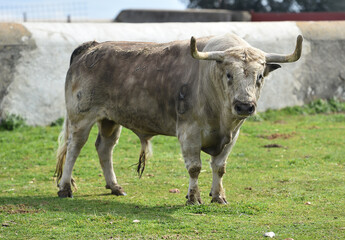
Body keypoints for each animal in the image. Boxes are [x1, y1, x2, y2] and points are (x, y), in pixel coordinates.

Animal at [54, 33, 300, 204]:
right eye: (229, 75)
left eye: (259, 76)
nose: (244, 106)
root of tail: (91, 47)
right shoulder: (189, 133)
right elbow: (195, 168)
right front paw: (193, 197)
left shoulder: (233, 136)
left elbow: (219, 167)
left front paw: (218, 196)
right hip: (81, 117)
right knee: (74, 148)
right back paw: (65, 188)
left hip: (109, 120)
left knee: (105, 147)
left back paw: (115, 187)